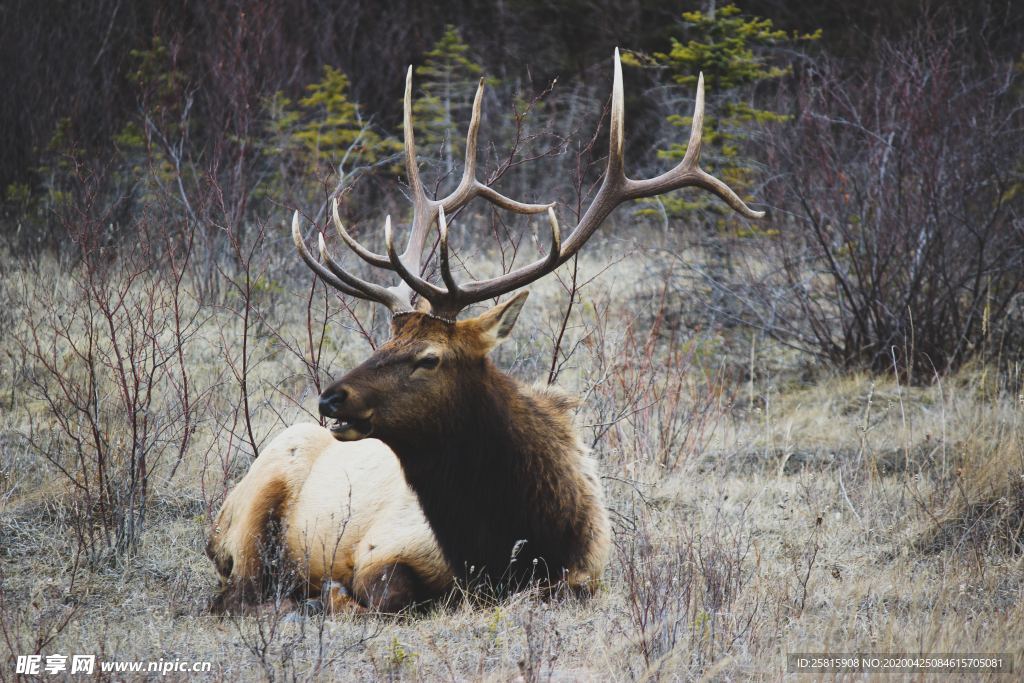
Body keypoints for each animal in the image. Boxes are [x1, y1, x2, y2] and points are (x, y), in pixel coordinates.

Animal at [207, 49, 761, 614]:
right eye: (385, 342)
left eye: (429, 357)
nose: (331, 398)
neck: (510, 542)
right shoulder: (380, 548)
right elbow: (380, 593)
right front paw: (331, 593)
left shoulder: (586, 573)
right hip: (254, 511)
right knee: (238, 592)